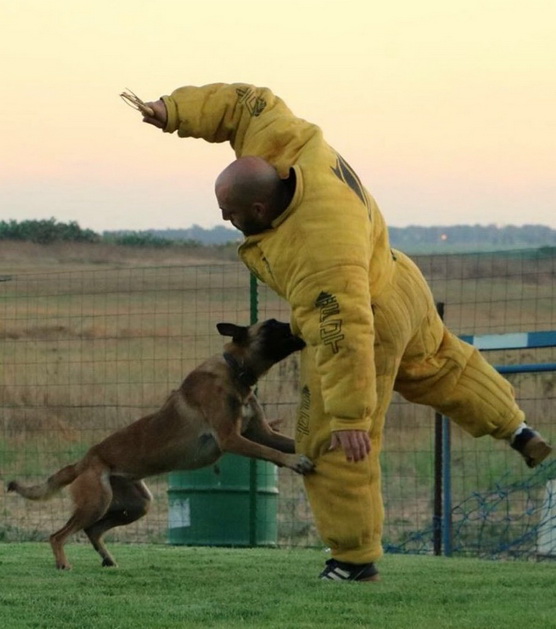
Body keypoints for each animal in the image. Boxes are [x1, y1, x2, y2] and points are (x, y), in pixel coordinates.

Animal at [8, 318, 312, 568]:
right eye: (272, 324)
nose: (297, 322)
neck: (235, 370)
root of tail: (83, 461)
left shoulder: (263, 433)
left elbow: (283, 443)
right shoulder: (230, 439)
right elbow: (269, 451)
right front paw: (295, 461)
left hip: (137, 504)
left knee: (92, 530)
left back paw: (107, 559)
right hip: (96, 501)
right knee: (58, 535)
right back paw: (63, 563)